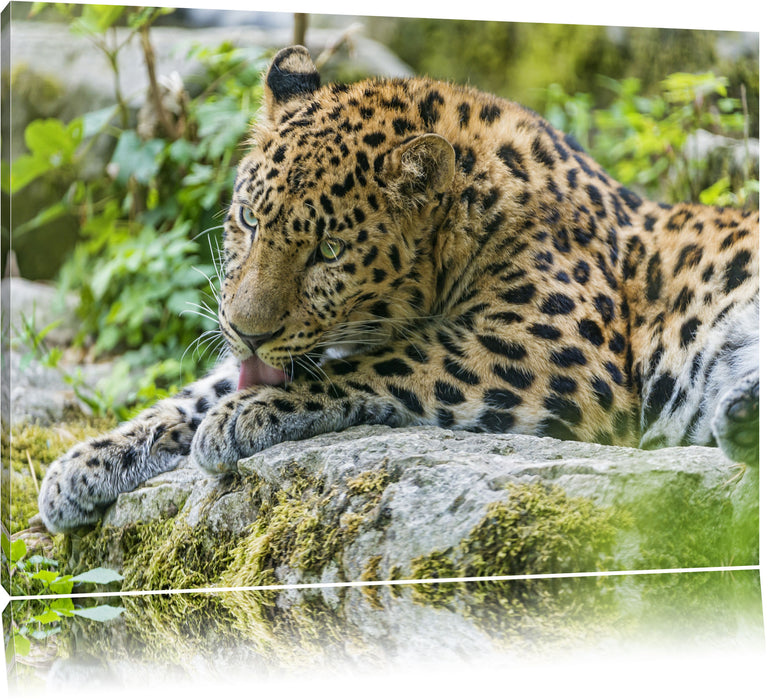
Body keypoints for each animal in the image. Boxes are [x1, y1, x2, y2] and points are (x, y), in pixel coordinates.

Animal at [38, 45, 759, 534]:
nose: (246, 330)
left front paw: (244, 416)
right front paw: (85, 464)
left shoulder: (558, 351)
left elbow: (389, 360)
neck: (478, 217)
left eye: (328, 252)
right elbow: (201, 389)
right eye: (248, 218)